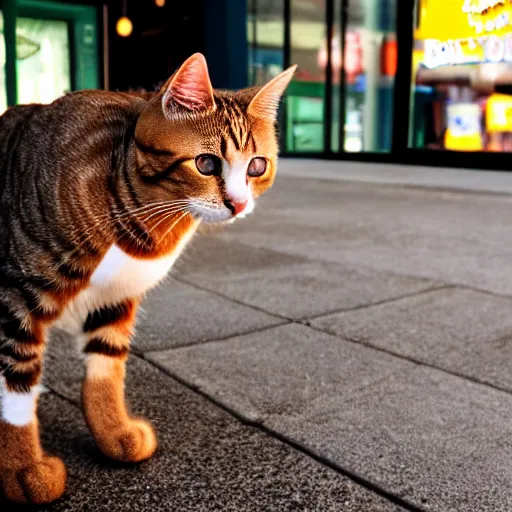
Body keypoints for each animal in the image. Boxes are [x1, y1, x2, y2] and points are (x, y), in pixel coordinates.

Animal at [0, 53, 296, 504]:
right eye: (206, 163)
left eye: (257, 166)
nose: (239, 203)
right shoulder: (14, 296)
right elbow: (14, 384)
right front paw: (21, 466)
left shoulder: (117, 296)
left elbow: (105, 370)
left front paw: (111, 431)